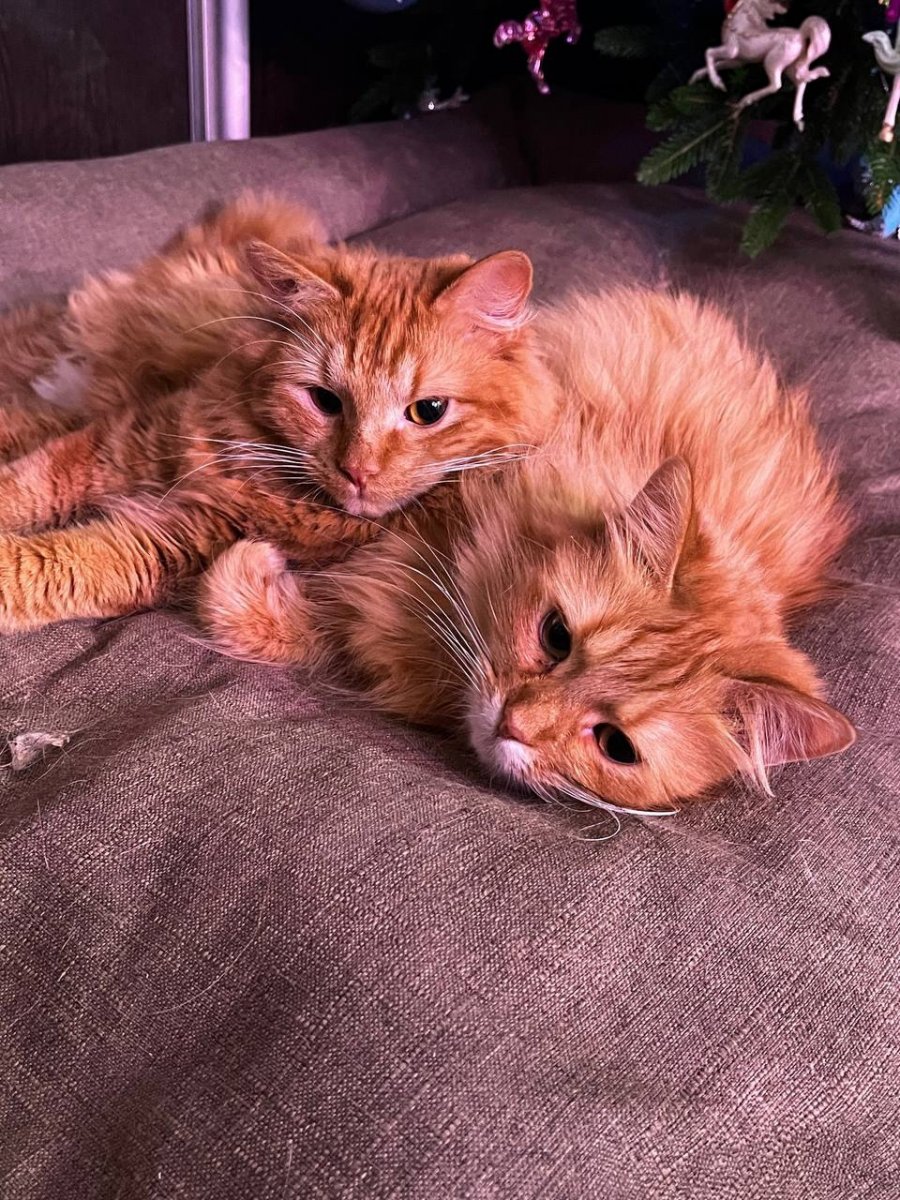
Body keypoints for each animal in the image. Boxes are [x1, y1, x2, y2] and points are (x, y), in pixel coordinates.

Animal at [0, 195, 553, 630]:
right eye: (324, 401)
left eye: (428, 410)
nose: (357, 471)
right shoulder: (129, 438)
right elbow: (31, 484)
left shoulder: (180, 536)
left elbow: (56, 561)